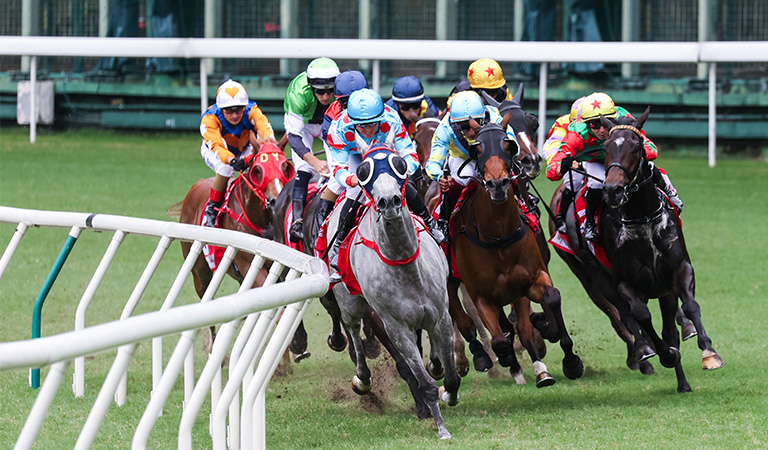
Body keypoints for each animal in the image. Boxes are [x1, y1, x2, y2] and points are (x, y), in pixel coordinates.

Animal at [179, 143, 295, 352]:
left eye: (284, 166)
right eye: (258, 170)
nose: (275, 199)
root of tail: (197, 185)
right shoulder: (249, 266)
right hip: (200, 273)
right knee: (206, 303)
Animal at [330, 145, 461, 439]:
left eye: (398, 164)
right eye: (363, 172)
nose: (388, 201)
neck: (406, 266)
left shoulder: (441, 317)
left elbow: (451, 376)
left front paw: (450, 393)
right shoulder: (396, 328)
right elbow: (423, 381)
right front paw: (442, 428)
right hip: (350, 301)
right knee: (352, 327)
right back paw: (362, 378)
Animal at [449, 124, 584, 386]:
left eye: (507, 145)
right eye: (477, 149)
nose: (498, 184)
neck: (499, 236)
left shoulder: (530, 279)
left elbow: (551, 299)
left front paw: (570, 361)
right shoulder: (481, 295)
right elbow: (500, 339)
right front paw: (506, 358)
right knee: (461, 317)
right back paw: (480, 356)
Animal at [573, 109, 723, 392]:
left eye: (636, 146)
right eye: (606, 148)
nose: (613, 190)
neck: (642, 218)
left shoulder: (680, 269)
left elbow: (691, 305)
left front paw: (709, 352)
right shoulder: (625, 283)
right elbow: (641, 317)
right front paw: (664, 354)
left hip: (663, 291)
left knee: (669, 329)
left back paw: (683, 383)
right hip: (594, 277)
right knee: (625, 316)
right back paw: (647, 352)